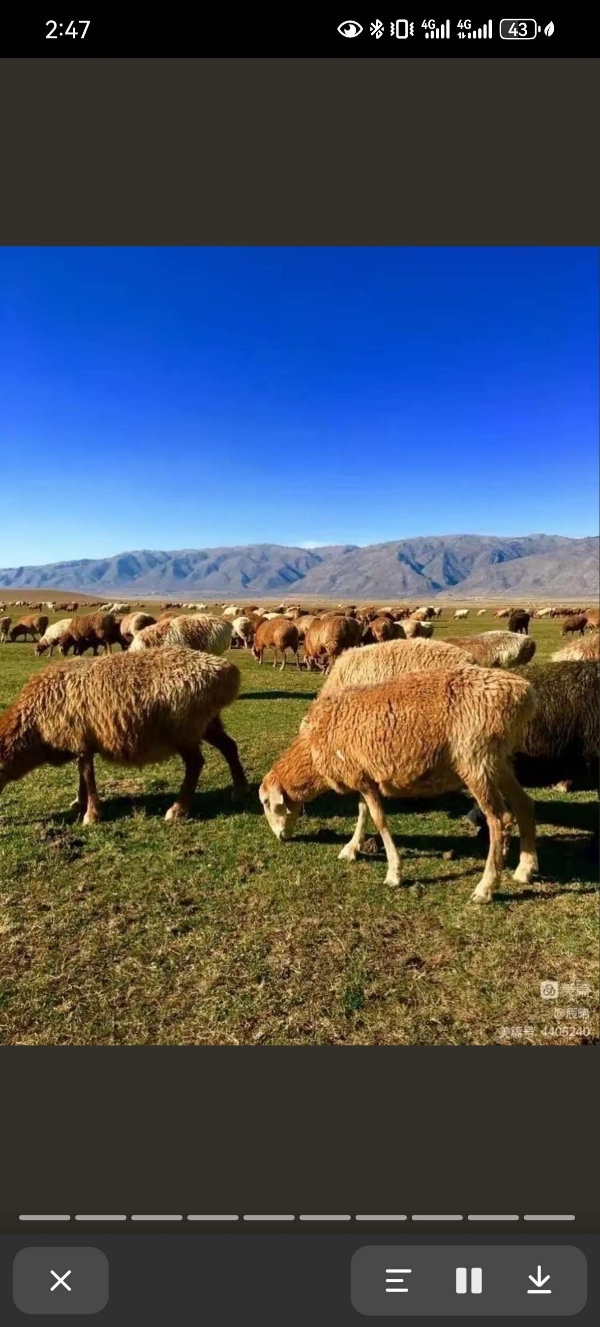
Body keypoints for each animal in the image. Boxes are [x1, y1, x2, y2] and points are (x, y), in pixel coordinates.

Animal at [0, 647, 248, 822]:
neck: (35, 724)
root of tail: (226, 669)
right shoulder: (83, 742)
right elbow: (82, 775)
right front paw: (79, 803)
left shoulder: (81, 741)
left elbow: (87, 776)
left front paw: (91, 815)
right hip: (206, 724)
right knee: (229, 747)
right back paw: (239, 791)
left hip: (183, 730)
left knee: (196, 763)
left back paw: (178, 810)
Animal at [260, 663, 536, 902]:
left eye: (266, 802)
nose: (280, 837)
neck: (314, 751)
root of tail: (522, 692)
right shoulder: (363, 777)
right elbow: (363, 813)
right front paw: (351, 848)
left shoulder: (363, 779)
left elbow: (380, 820)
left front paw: (394, 872)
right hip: (497, 761)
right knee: (523, 804)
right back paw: (525, 868)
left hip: (475, 760)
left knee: (499, 819)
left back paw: (486, 887)